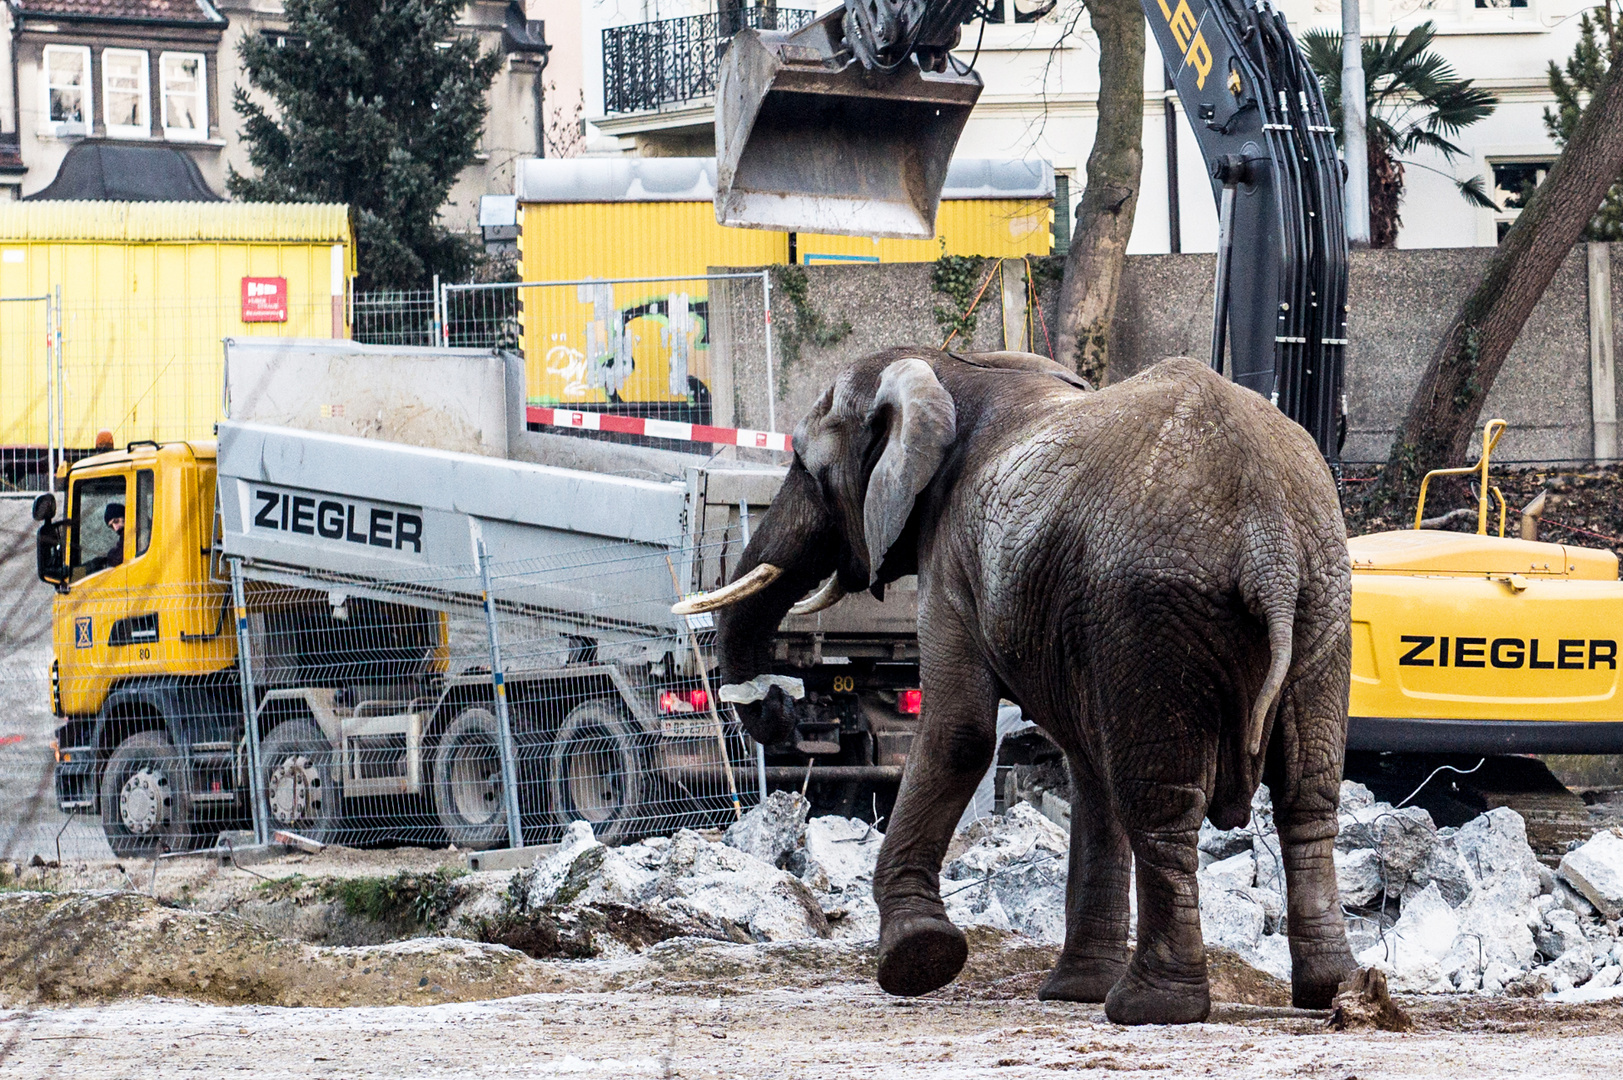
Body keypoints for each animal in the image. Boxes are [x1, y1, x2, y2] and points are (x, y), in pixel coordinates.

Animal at [684, 349, 1356, 1026]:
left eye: (803, 464)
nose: (777, 703)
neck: (947, 374)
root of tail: (1267, 542)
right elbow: (1088, 767)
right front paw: (1073, 990)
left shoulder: (952, 559)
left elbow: (959, 732)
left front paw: (917, 960)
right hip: (1321, 595)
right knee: (1307, 794)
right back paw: (1330, 990)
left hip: (1154, 608)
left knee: (1163, 802)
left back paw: (1152, 1006)